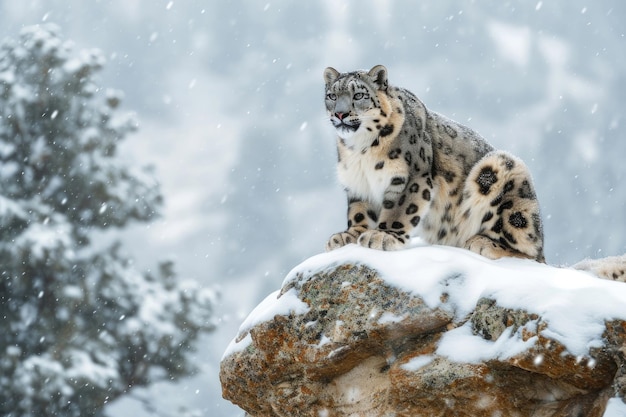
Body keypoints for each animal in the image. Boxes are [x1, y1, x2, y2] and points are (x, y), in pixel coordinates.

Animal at [324, 65, 544, 262]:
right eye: (332, 96)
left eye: (359, 95)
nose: (340, 114)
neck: (359, 150)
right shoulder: (357, 183)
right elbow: (359, 211)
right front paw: (349, 235)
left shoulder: (411, 176)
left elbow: (400, 208)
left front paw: (383, 235)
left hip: (504, 172)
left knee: (530, 251)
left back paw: (483, 243)